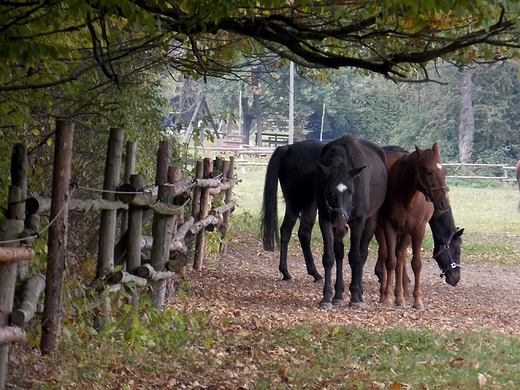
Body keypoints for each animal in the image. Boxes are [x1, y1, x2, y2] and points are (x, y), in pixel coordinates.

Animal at [260, 139, 324, 282]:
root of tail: (288, 148)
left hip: (294, 205)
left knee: (286, 230)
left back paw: (286, 272)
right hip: (306, 203)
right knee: (303, 233)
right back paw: (314, 274)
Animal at [310, 136, 388, 310]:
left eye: (351, 191)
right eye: (328, 191)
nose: (340, 227)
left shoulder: (358, 221)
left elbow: (355, 257)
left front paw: (355, 297)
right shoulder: (325, 218)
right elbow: (329, 258)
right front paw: (327, 297)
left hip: (370, 221)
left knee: (362, 253)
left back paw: (359, 292)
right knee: (339, 253)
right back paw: (338, 295)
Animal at [376, 144, 448, 310]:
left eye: (444, 171)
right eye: (429, 171)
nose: (444, 203)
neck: (407, 198)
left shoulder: (417, 230)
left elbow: (416, 264)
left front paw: (417, 301)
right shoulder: (389, 228)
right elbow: (390, 262)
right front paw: (388, 297)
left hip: (405, 233)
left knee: (401, 257)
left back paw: (400, 297)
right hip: (378, 228)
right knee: (384, 254)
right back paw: (384, 294)